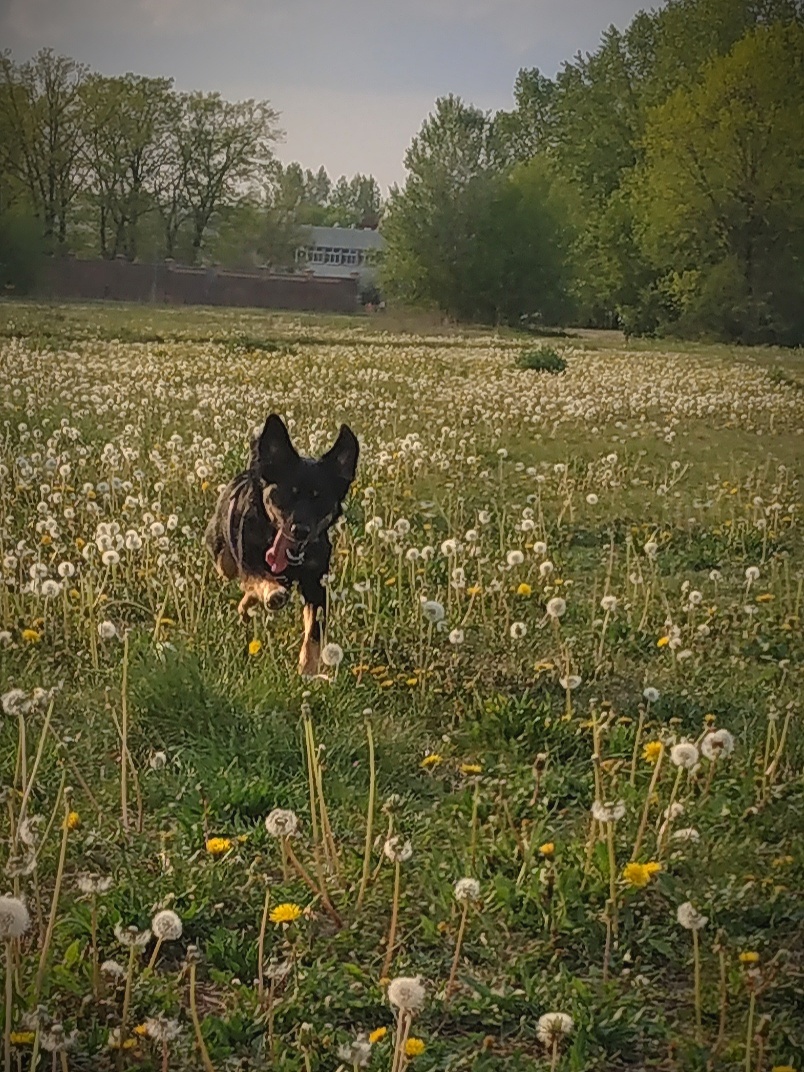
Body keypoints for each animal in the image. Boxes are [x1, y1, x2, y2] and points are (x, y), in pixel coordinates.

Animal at [205, 414, 359, 675]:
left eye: (319, 498)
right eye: (289, 493)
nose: (300, 531)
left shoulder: (316, 587)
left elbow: (313, 634)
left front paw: (308, 671)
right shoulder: (250, 564)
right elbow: (260, 578)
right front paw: (274, 592)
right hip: (224, 561)